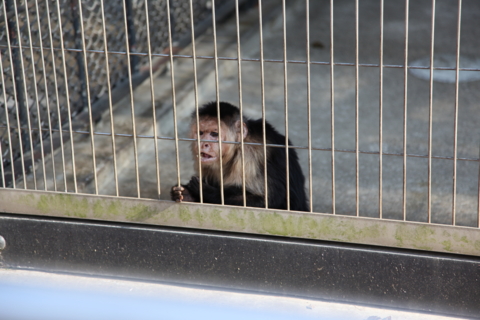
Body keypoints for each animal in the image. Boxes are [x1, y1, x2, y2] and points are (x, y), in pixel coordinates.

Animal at [171, 101, 310, 211]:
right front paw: (187, 195)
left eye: (214, 134)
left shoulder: (250, 154)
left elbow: (272, 200)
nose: (203, 144)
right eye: (200, 133)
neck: (237, 148)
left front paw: (206, 192)